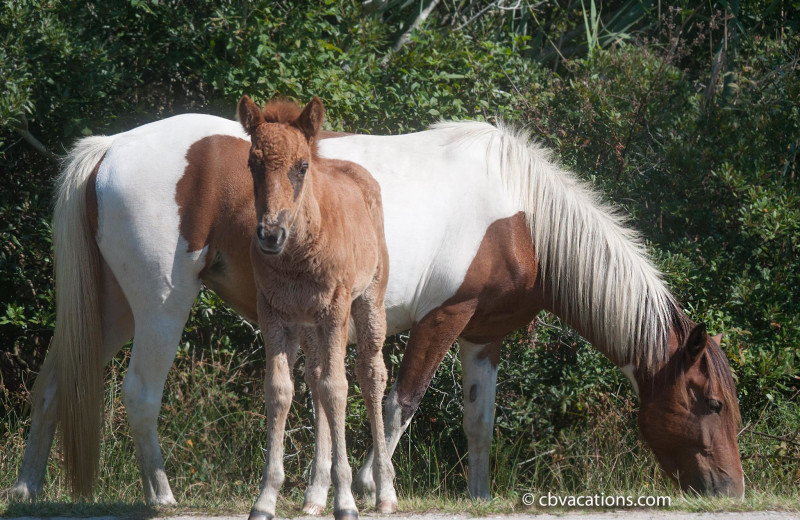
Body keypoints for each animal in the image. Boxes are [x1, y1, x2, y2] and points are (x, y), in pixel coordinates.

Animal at [4, 103, 744, 506]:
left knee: (51, 385)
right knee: (139, 394)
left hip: (113, 311)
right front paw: (364, 484)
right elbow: (399, 404)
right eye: (709, 403)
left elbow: (479, 421)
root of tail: (111, 149)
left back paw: (29, 489)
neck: (518, 211)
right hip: (161, 305)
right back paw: (162, 496)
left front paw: (477, 496)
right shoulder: (443, 319)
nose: (731, 490)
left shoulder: (483, 338)